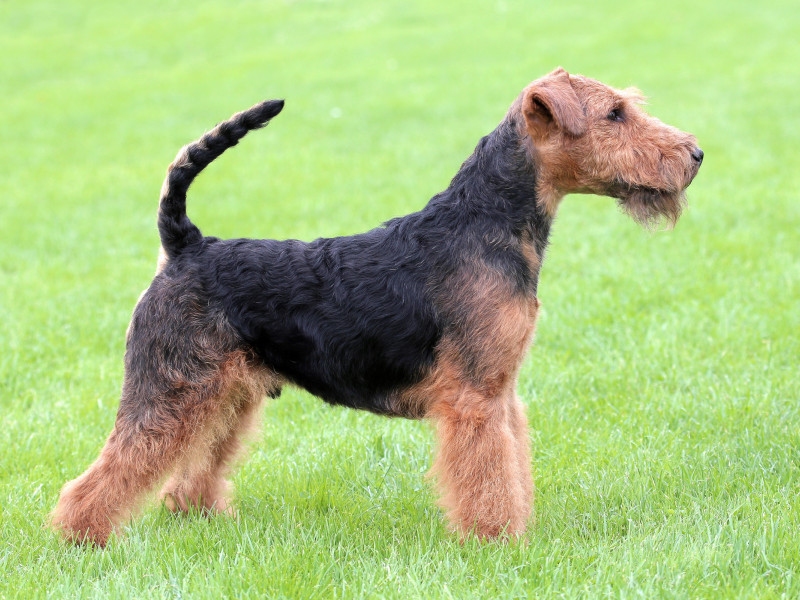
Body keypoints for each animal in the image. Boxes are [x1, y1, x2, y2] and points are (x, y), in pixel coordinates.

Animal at [50, 68, 700, 548]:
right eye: (614, 114)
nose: (694, 154)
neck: (486, 223)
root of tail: (185, 245)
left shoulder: (502, 392)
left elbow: (512, 465)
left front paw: (516, 531)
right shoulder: (475, 398)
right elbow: (488, 476)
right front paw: (496, 543)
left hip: (226, 395)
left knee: (192, 469)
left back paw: (202, 519)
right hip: (170, 389)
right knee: (108, 472)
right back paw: (81, 538)